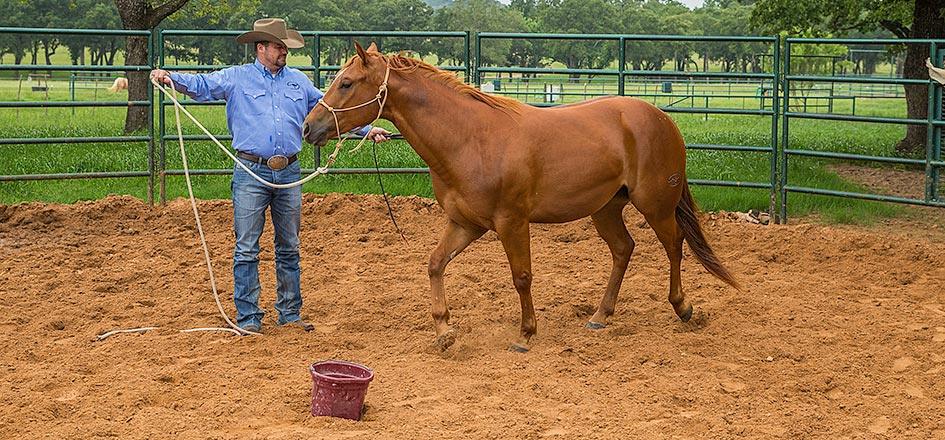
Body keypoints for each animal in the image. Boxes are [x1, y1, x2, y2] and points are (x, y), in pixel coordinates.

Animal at [302, 42, 739, 352]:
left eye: (346, 83)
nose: (309, 127)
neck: (471, 138)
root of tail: (662, 119)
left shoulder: (511, 222)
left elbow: (522, 276)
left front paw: (525, 335)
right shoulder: (465, 224)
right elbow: (434, 264)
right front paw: (444, 330)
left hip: (656, 204)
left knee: (674, 245)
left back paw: (682, 307)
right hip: (606, 208)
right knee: (623, 249)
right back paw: (600, 315)